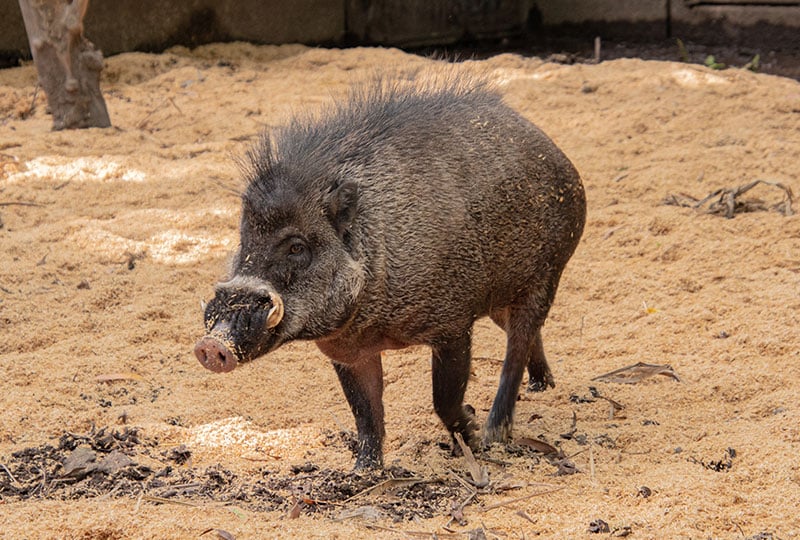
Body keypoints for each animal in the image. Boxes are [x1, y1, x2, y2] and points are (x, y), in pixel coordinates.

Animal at [195, 73, 586, 470]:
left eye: (297, 247)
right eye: (243, 239)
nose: (210, 346)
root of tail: (556, 153)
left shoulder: (453, 326)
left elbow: (443, 399)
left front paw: (473, 437)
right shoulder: (347, 351)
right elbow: (365, 412)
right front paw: (363, 471)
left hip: (545, 277)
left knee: (517, 348)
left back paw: (495, 432)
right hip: (500, 300)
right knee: (527, 338)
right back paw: (542, 386)